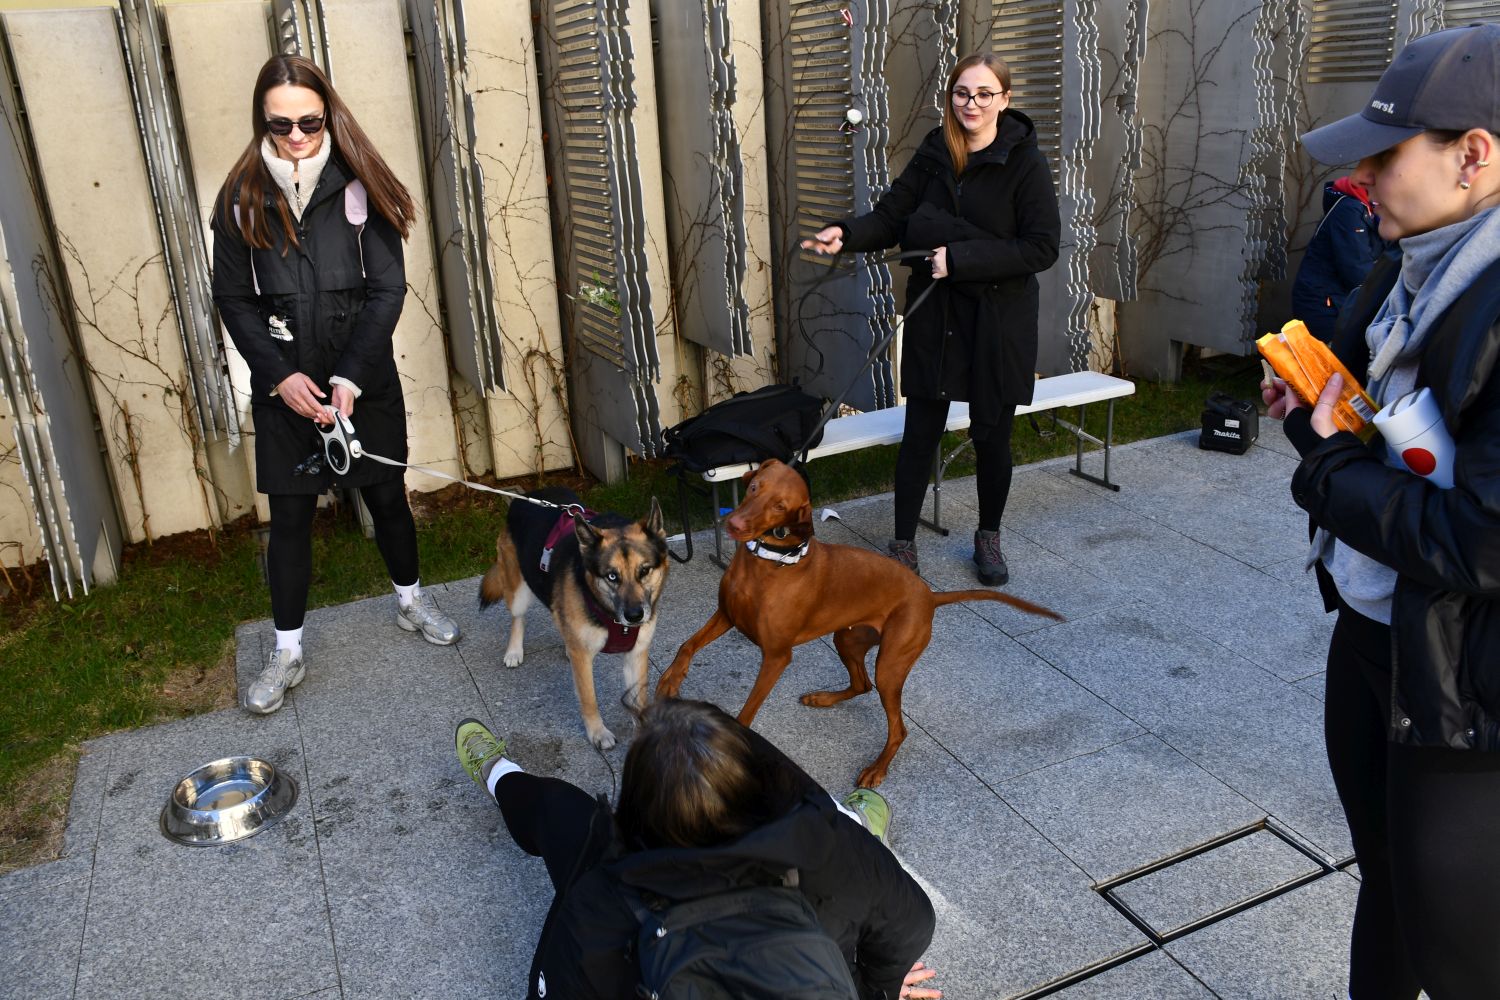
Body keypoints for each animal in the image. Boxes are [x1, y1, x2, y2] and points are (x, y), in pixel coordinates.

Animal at [480, 486, 668, 750]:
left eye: (644, 571)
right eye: (612, 576)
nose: (634, 617)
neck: (610, 616)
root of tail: (524, 496)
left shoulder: (636, 654)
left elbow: (638, 701)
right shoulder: (584, 658)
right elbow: (589, 699)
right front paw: (598, 733)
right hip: (518, 592)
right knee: (518, 618)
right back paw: (514, 651)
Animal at [656, 459, 1061, 787]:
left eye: (780, 506)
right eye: (755, 487)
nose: (735, 523)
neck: (767, 561)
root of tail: (929, 595)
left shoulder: (777, 655)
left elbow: (747, 711)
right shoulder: (726, 615)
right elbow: (686, 645)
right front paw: (670, 680)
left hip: (891, 663)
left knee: (897, 727)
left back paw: (876, 770)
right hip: (847, 640)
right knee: (861, 683)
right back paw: (823, 698)